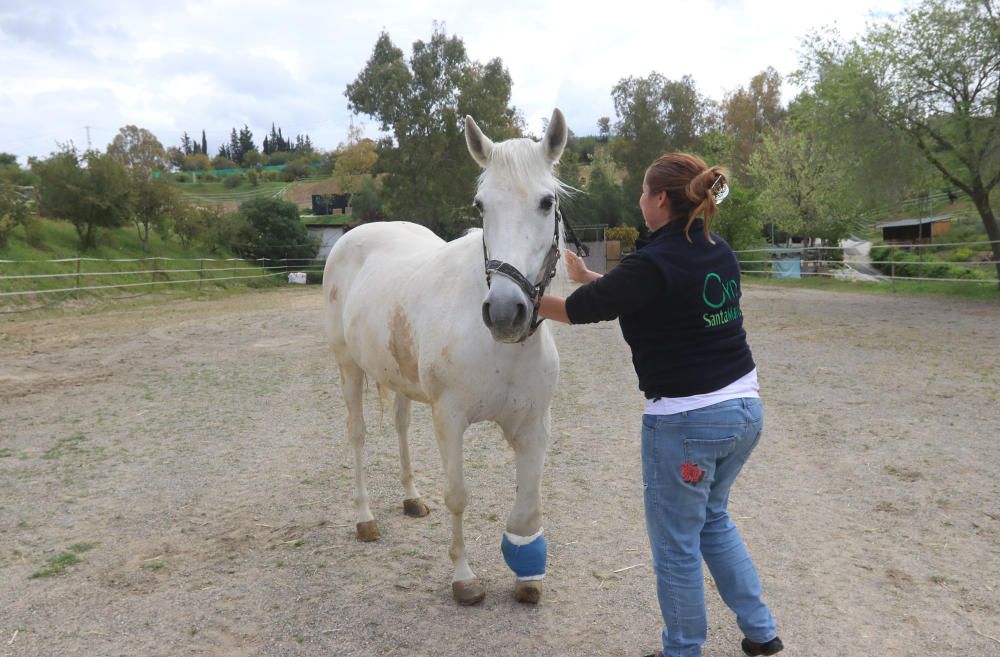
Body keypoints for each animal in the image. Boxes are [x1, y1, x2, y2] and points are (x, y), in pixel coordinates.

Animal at [322, 109, 572, 604]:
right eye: (480, 206)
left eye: (546, 202)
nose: (505, 313)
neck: (500, 349)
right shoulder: (450, 418)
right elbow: (457, 495)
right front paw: (464, 577)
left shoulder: (534, 424)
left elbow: (529, 505)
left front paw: (527, 573)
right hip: (349, 368)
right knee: (357, 435)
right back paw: (365, 518)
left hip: (397, 376)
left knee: (399, 425)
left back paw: (411, 498)